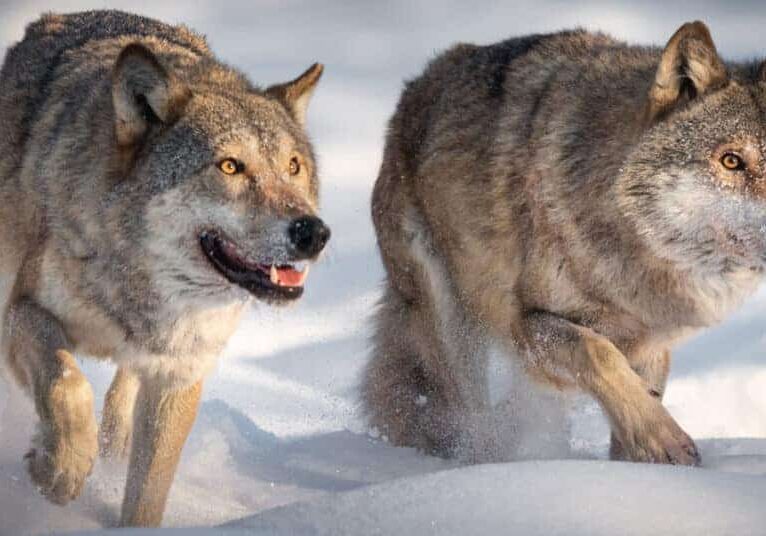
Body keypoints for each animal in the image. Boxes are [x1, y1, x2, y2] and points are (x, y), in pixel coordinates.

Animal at [0, 10, 329, 526]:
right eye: (230, 166)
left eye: (293, 166)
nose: (313, 232)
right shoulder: (22, 311)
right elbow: (66, 383)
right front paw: (60, 471)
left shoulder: (180, 373)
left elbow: (148, 492)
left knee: (123, 396)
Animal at [363, 21, 766, 465]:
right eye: (731, 161)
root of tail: (415, 87)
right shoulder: (529, 326)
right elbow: (599, 353)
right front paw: (664, 440)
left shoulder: (650, 347)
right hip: (452, 328)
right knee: (470, 421)